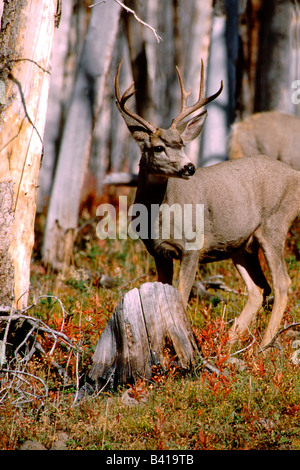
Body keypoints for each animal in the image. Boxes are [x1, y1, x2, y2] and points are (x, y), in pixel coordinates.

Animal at [114, 60, 300, 348]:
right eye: (158, 147)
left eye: (182, 143)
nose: (189, 167)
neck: (158, 215)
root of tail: (295, 175)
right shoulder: (158, 251)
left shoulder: (192, 246)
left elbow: (181, 297)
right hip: (240, 245)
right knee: (258, 289)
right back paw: (231, 341)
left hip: (275, 225)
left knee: (282, 284)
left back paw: (263, 344)